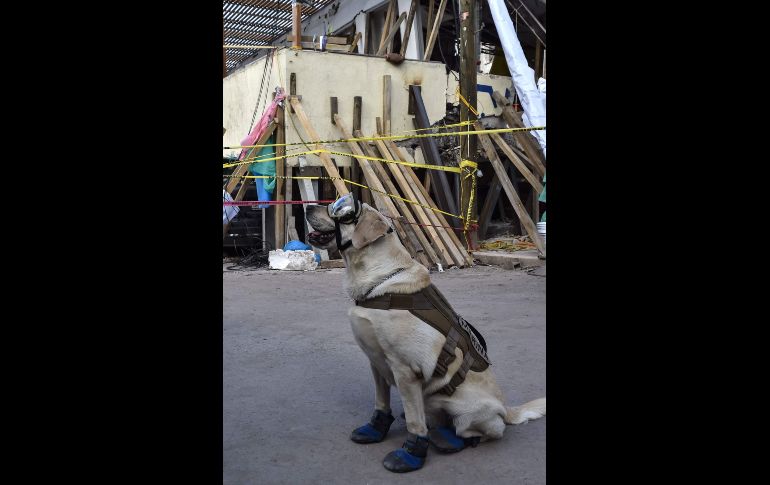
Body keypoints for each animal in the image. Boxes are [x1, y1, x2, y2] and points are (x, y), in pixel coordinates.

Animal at [304, 195, 544, 470]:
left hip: (463, 410)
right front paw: (375, 429)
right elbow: (381, 401)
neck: (380, 279)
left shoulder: (405, 371)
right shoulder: (376, 361)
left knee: (485, 431)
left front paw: (411, 453)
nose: (308, 206)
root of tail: (506, 408)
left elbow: (413, 422)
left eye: (340, 210)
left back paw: (449, 439)